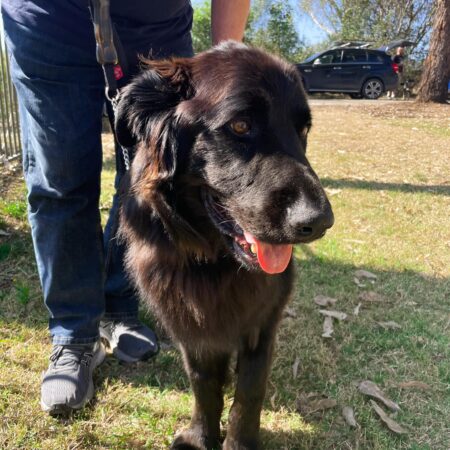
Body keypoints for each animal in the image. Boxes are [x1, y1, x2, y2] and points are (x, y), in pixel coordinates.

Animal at [115, 40, 334, 448]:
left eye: (303, 130)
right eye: (240, 125)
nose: (318, 222)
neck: (214, 261)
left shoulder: (262, 324)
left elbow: (249, 392)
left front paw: (239, 442)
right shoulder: (191, 329)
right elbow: (204, 386)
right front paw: (201, 436)